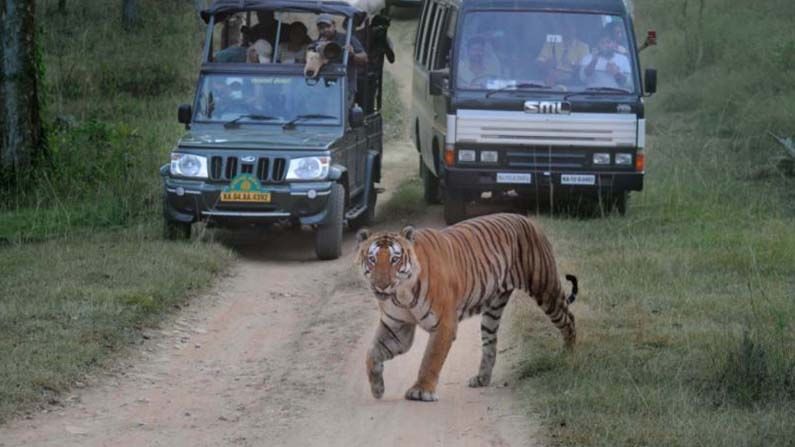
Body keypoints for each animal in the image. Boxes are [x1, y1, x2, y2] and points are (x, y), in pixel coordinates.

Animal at [356, 214, 580, 402]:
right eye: (372, 259)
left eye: (394, 259)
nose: (381, 285)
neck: (402, 294)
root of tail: (528, 219)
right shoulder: (397, 328)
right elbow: (372, 352)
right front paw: (377, 387)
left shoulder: (444, 325)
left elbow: (430, 358)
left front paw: (421, 391)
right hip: (492, 311)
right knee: (490, 344)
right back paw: (482, 379)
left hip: (545, 288)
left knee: (568, 319)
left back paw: (568, 357)